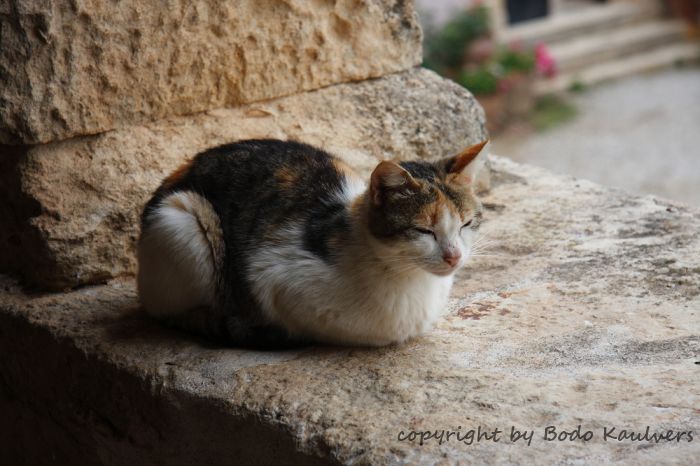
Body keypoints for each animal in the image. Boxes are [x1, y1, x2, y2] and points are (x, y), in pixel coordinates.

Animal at [137, 139, 486, 350]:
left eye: (466, 224)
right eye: (424, 230)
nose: (454, 256)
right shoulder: (269, 273)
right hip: (181, 221)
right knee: (169, 312)